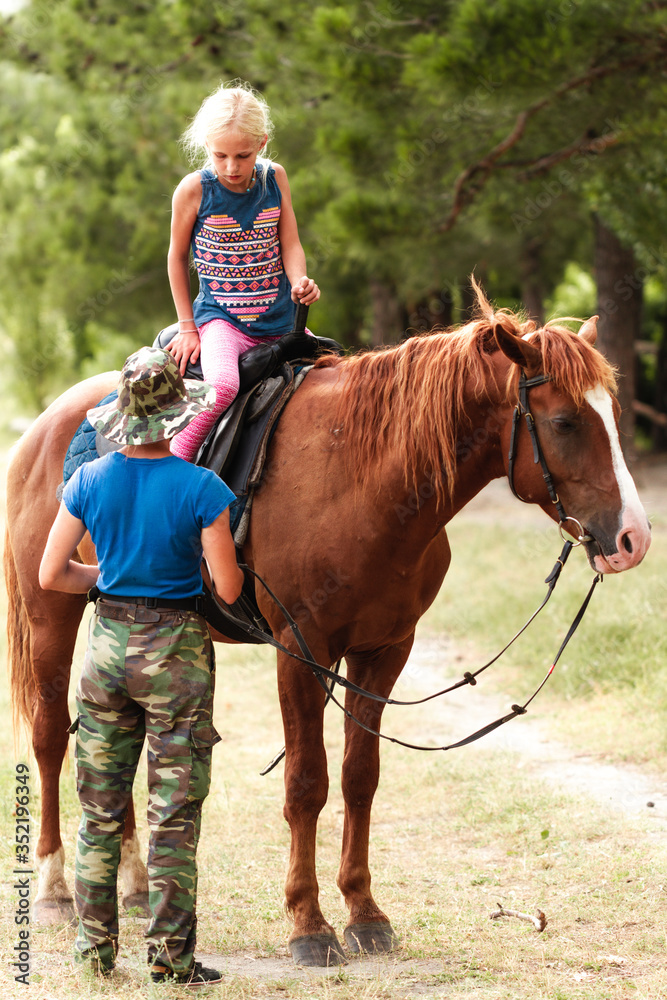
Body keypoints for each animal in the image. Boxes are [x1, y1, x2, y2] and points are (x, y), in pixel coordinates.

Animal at [4, 285, 651, 966]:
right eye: (565, 422)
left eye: (611, 415)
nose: (632, 539)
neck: (361, 481)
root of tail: (48, 424)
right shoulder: (301, 650)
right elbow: (306, 782)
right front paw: (309, 925)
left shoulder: (384, 650)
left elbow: (359, 778)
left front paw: (364, 913)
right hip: (49, 615)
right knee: (49, 737)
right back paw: (52, 887)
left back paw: (131, 882)